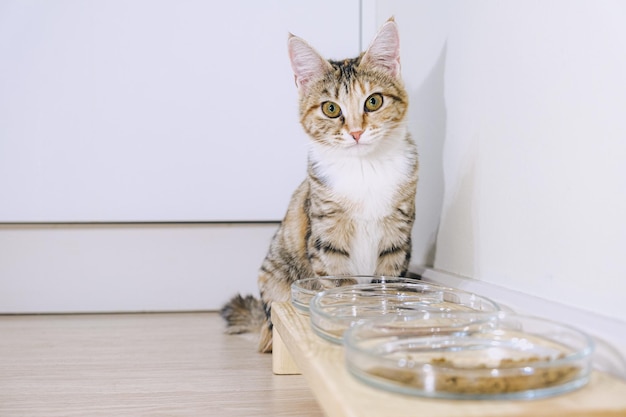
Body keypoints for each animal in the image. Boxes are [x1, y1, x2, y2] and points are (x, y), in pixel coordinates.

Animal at [219, 18, 420, 352]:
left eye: (374, 101)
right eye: (331, 109)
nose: (356, 132)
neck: (364, 169)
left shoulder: (397, 237)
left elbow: (387, 284)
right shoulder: (327, 236)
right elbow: (340, 285)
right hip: (275, 276)